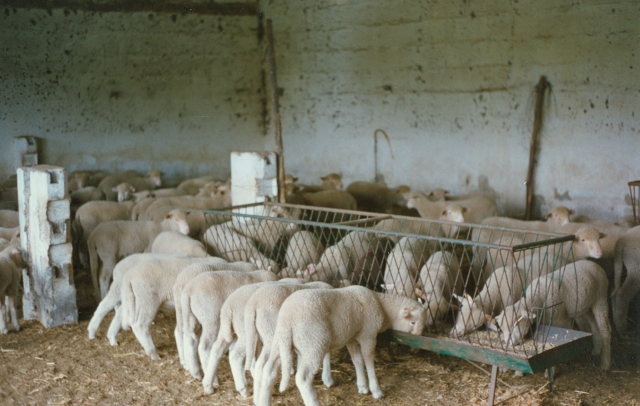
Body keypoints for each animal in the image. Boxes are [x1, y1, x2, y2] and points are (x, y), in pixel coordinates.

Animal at [258, 286, 428, 406]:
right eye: (413, 322)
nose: (416, 349)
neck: (382, 305)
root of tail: (288, 317)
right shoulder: (368, 334)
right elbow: (369, 361)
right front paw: (376, 390)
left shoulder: (352, 339)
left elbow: (357, 361)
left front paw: (362, 387)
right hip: (314, 344)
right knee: (303, 379)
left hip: (281, 341)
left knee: (268, 371)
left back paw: (263, 401)